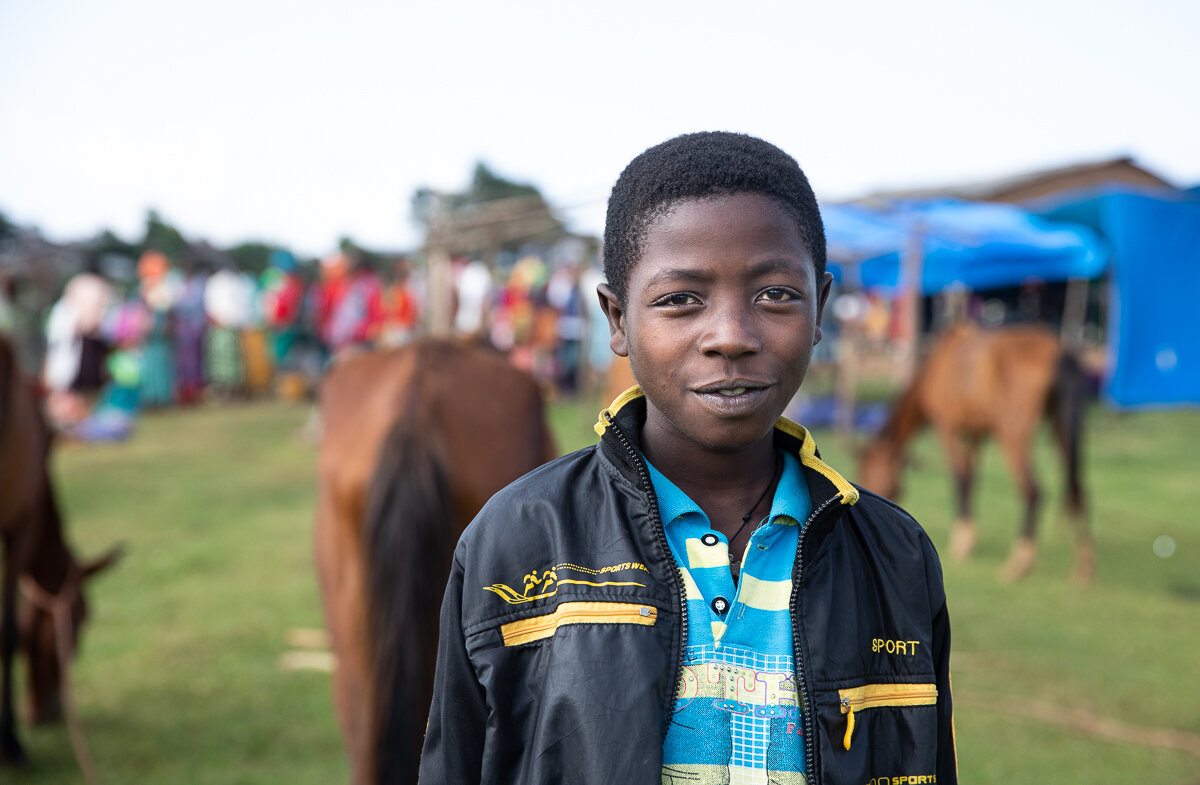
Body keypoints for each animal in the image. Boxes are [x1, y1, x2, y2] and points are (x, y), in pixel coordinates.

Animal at [859, 321, 1094, 583]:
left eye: (866, 472)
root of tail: (1059, 353)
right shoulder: (974, 436)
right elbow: (971, 481)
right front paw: (969, 539)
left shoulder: (948, 429)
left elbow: (960, 480)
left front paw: (960, 543)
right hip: (1063, 428)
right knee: (1078, 490)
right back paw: (1084, 566)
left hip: (1013, 434)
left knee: (1033, 491)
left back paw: (1020, 561)